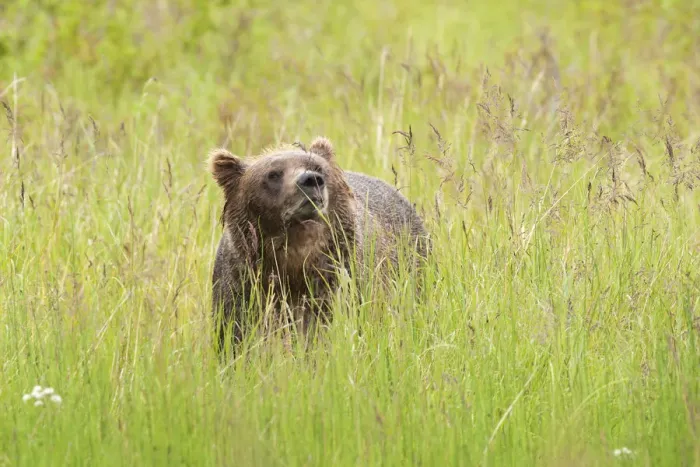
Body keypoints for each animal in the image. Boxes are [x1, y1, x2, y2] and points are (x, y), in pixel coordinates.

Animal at [208, 136, 430, 353]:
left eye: (318, 167)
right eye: (273, 173)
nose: (311, 180)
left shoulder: (340, 277)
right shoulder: (244, 286)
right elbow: (239, 335)